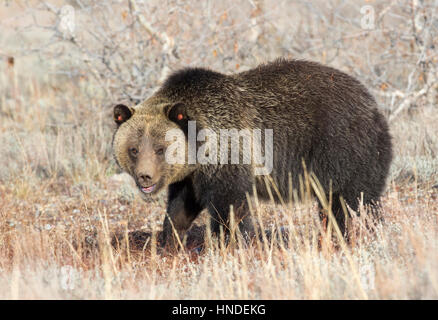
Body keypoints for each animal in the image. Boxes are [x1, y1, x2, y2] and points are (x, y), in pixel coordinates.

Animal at [112, 57, 394, 248]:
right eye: (134, 149)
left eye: (160, 148)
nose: (145, 177)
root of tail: (373, 104)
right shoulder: (191, 176)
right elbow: (180, 207)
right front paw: (171, 241)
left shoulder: (229, 154)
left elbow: (231, 207)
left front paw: (234, 243)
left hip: (344, 147)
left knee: (353, 201)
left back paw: (357, 234)